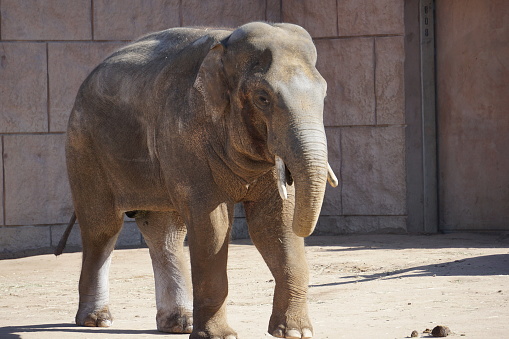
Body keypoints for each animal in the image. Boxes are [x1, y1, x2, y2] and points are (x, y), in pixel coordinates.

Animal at [64, 21, 338, 339]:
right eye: (263, 98)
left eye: (325, 95)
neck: (225, 46)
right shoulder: (185, 135)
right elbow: (212, 224)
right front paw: (220, 336)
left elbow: (274, 222)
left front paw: (294, 332)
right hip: (84, 148)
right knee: (102, 227)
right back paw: (97, 321)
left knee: (165, 232)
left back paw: (178, 324)